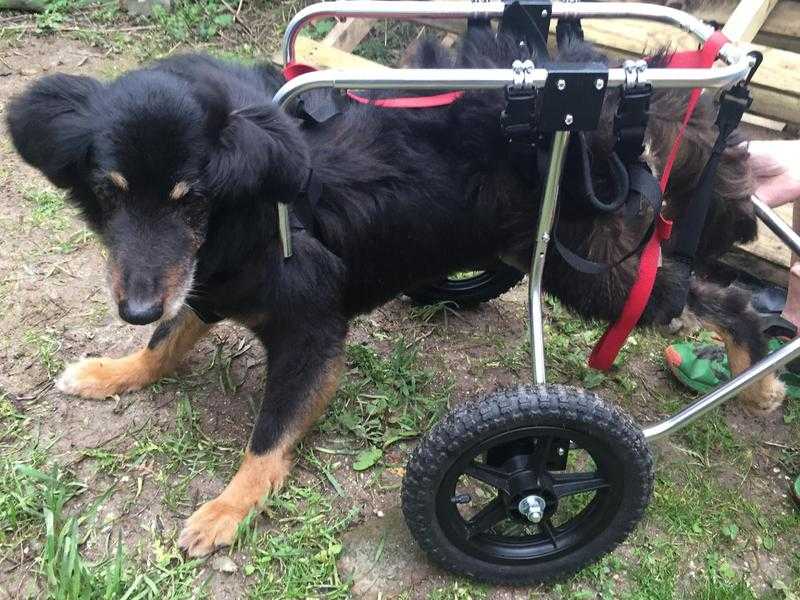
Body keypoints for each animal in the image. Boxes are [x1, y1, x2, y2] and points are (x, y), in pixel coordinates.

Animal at [4, 30, 780, 556]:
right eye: (110, 193)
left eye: (190, 198)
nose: (132, 306)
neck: (253, 205)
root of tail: (625, 96)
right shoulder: (200, 286)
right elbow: (166, 342)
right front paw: (114, 372)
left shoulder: (312, 334)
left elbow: (267, 437)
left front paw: (228, 509)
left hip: (593, 271)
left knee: (703, 292)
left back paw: (758, 371)